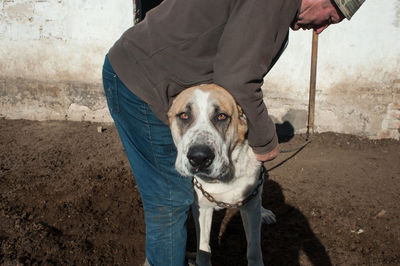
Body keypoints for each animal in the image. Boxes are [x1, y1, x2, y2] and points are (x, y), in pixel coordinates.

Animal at [168, 84, 276, 264]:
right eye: (184, 115)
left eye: (221, 116)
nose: (199, 157)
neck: (222, 179)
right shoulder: (202, 207)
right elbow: (203, 247)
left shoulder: (250, 206)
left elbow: (254, 249)